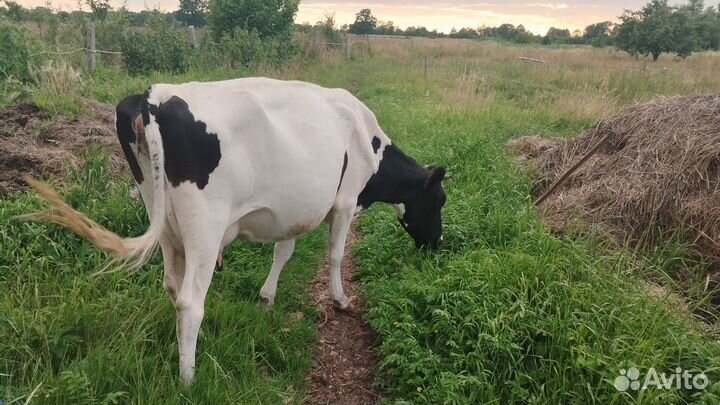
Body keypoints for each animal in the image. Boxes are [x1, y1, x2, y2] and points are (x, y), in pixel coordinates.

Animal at [21, 77, 448, 385]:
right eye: (440, 200)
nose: (437, 246)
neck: (366, 141)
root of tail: (154, 96)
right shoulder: (344, 202)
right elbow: (335, 254)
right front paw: (341, 301)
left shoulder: (291, 209)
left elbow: (283, 252)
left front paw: (266, 299)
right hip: (204, 227)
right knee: (190, 302)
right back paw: (188, 380)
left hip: (164, 220)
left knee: (173, 288)